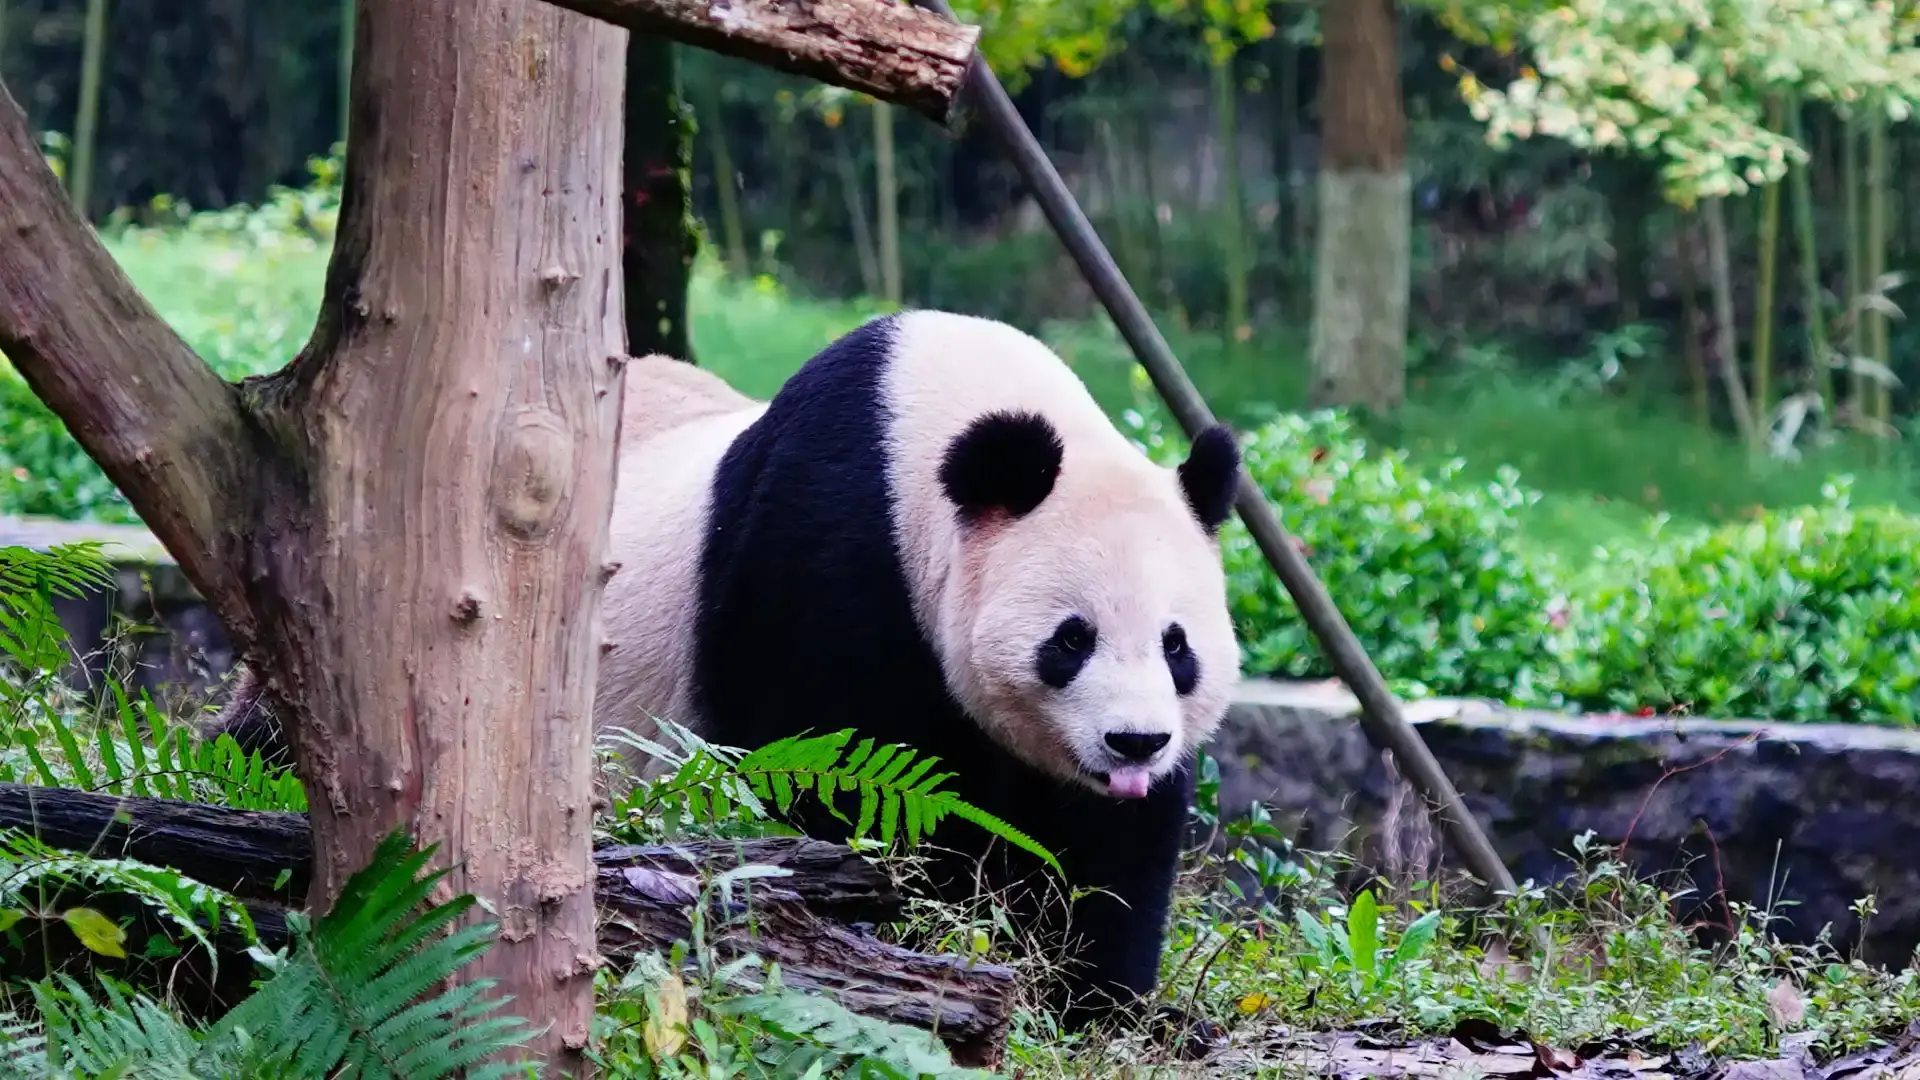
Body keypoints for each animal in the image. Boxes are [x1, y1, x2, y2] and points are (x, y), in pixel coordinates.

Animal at [598, 309, 1244, 1028]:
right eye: (1073, 639)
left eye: (1176, 646)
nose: (1134, 743)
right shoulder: (825, 558)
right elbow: (831, 776)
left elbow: (1114, 845)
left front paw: (1103, 1003)